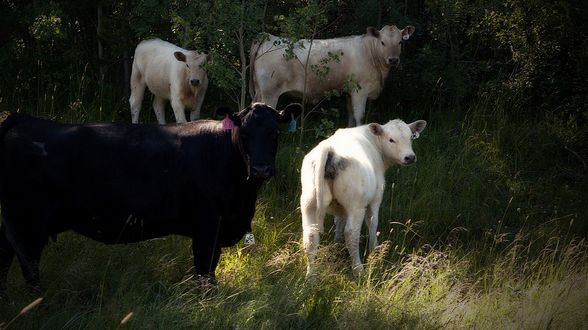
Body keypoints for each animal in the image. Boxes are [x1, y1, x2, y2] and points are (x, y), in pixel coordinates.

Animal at [0, 102, 304, 290]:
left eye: (274, 131)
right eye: (245, 132)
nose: (261, 168)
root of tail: (23, 120)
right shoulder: (207, 228)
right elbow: (205, 274)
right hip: (28, 224)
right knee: (29, 268)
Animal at [300, 118, 424, 278]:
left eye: (411, 138)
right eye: (391, 139)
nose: (410, 157)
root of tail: (330, 149)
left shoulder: (341, 208)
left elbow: (339, 222)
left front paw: (336, 246)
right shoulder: (375, 198)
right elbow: (372, 222)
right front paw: (375, 249)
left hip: (309, 203)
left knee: (310, 237)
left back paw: (310, 277)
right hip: (356, 206)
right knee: (351, 234)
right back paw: (358, 270)